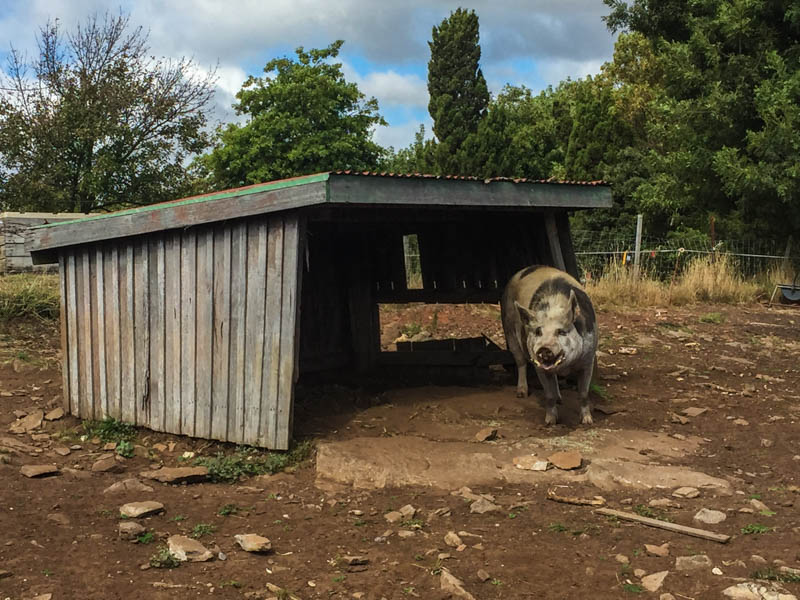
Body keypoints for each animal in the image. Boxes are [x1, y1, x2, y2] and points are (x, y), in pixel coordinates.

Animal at [500, 264, 592, 426]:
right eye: (538, 331)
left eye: (561, 331)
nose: (544, 348)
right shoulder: (538, 366)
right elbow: (549, 395)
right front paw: (550, 422)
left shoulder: (589, 358)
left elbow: (584, 393)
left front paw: (588, 422)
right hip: (509, 328)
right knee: (521, 362)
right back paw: (521, 393)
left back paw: (561, 399)